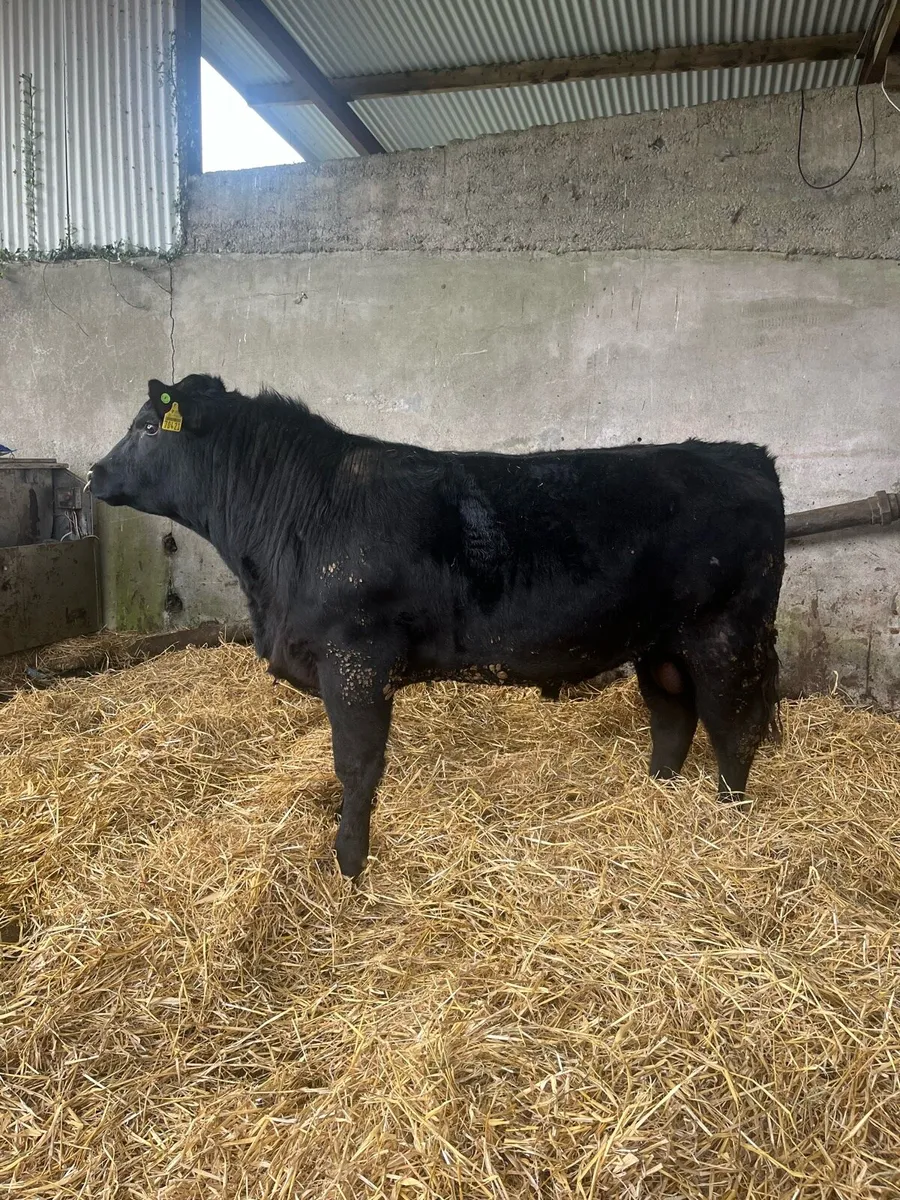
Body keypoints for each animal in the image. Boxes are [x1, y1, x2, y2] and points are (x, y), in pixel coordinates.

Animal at [89, 375, 785, 879]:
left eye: (146, 427)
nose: (94, 472)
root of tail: (744, 455)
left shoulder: (356, 661)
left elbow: (357, 765)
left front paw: (349, 864)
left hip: (727, 631)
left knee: (734, 725)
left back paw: (728, 820)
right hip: (658, 641)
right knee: (673, 714)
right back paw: (658, 793)